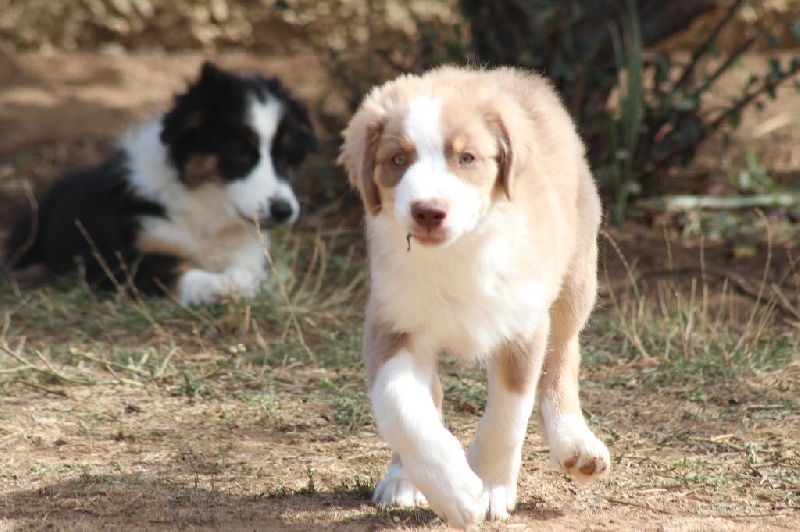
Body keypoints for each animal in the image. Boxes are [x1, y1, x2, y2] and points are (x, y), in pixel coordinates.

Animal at [3, 61, 317, 305]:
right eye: (239, 152)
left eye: (286, 157)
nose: (284, 211)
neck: (207, 208)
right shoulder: (132, 258)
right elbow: (181, 271)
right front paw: (221, 286)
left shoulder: (247, 252)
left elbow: (247, 270)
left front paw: (240, 282)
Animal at [339, 66, 610, 529]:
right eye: (397, 160)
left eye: (466, 158)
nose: (428, 211)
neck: (460, 250)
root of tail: (518, 76)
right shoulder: (392, 323)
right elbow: (401, 406)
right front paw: (454, 490)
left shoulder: (522, 325)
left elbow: (507, 415)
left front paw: (490, 487)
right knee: (429, 396)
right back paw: (402, 479)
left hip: (575, 276)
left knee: (562, 354)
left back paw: (575, 443)